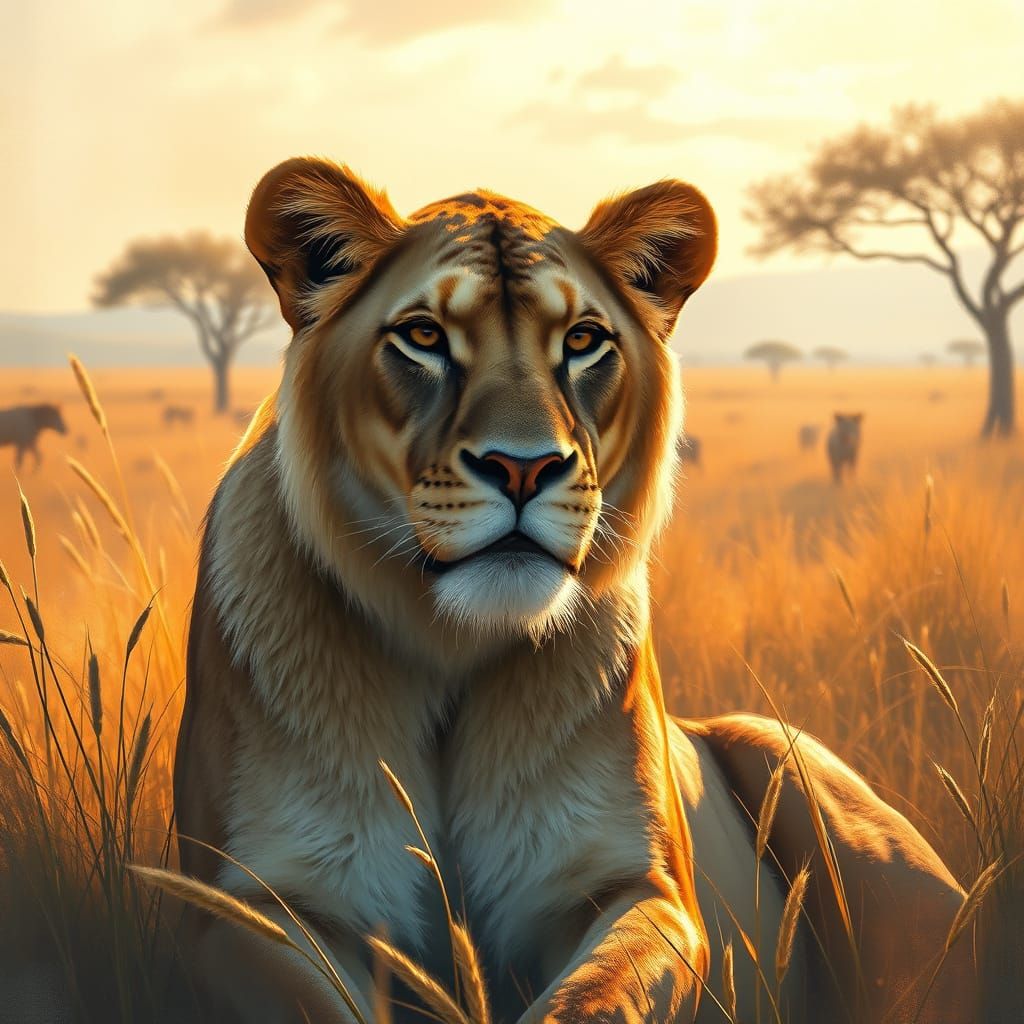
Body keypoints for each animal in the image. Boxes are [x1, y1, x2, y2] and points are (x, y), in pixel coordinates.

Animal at [174, 158, 972, 1023]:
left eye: (584, 341)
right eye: (424, 336)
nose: (524, 468)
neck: (450, 647)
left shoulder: (640, 890)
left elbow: (592, 997)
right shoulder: (255, 905)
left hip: (806, 784)